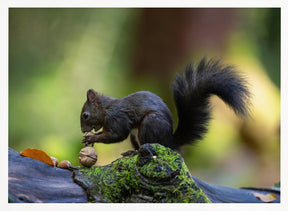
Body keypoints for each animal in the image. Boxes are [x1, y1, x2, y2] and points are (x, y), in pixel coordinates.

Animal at [80, 57, 250, 150]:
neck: (106, 109)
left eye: (85, 115)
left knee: (148, 146)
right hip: (136, 136)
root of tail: (169, 142)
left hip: (150, 124)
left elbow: (116, 135)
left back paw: (133, 152)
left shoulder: (117, 118)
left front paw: (92, 138)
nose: (82, 131)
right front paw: (91, 137)